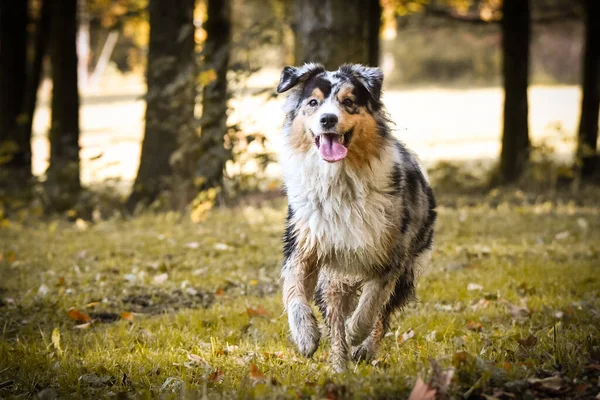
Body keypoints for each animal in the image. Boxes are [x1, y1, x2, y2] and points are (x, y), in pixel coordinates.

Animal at [276, 62, 436, 372]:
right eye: (312, 103)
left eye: (349, 102)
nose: (327, 119)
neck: (339, 178)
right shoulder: (303, 243)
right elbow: (293, 290)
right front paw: (305, 335)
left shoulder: (390, 256)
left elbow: (371, 304)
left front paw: (355, 332)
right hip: (333, 280)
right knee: (335, 318)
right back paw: (339, 368)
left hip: (408, 268)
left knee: (383, 316)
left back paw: (363, 348)